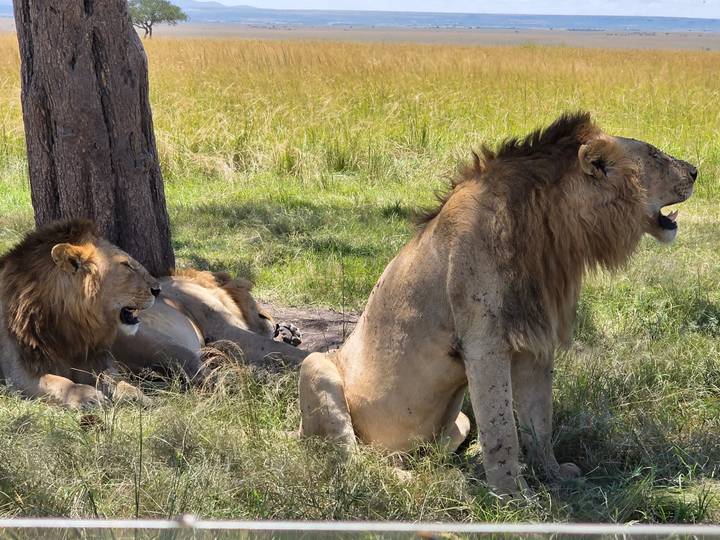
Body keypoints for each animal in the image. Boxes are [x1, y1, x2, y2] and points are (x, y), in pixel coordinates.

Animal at [0, 219, 160, 408]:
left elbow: (114, 378)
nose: (158, 289)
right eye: (126, 265)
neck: (73, 324)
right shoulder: (18, 371)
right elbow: (56, 382)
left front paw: (135, 393)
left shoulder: (95, 358)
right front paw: (85, 396)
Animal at [298, 112, 698, 495]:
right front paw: (513, 496)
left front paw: (553, 476)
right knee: (351, 459)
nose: (696, 171)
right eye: (654, 154)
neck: (552, 236)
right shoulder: (483, 343)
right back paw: (404, 478)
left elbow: (539, 421)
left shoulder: (537, 341)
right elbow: (502, 429)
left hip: (457, 422)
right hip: (314, 365)